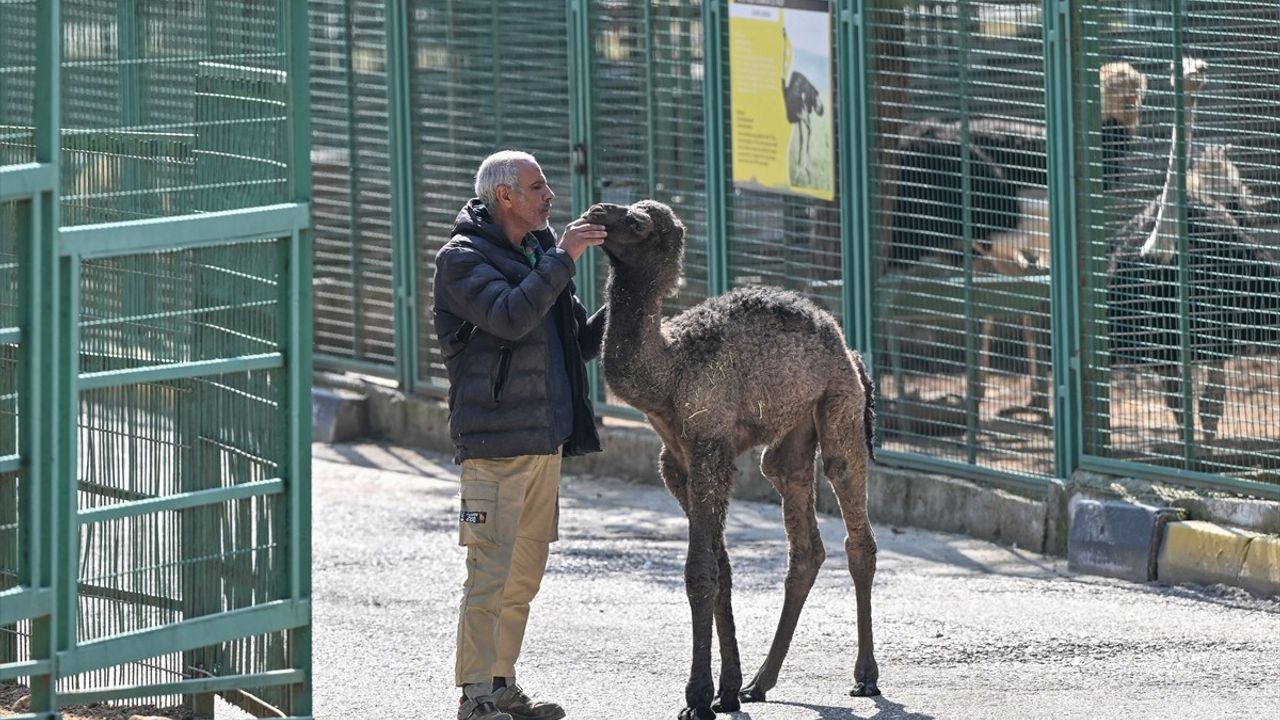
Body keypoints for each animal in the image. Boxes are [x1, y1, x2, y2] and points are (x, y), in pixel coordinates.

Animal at [583, 198, 875, 712]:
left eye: (637, 223)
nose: (596, 210)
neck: (670, 369)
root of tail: (851, 351)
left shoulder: (709, 446)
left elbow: (700, 571)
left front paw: (698, 696)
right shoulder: (676, 460)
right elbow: (721, 566)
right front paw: (727, 690)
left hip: (841, 404)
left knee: (853, 523)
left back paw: (866, 677)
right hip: (793, 435)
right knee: (803, 539)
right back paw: (759, 683)